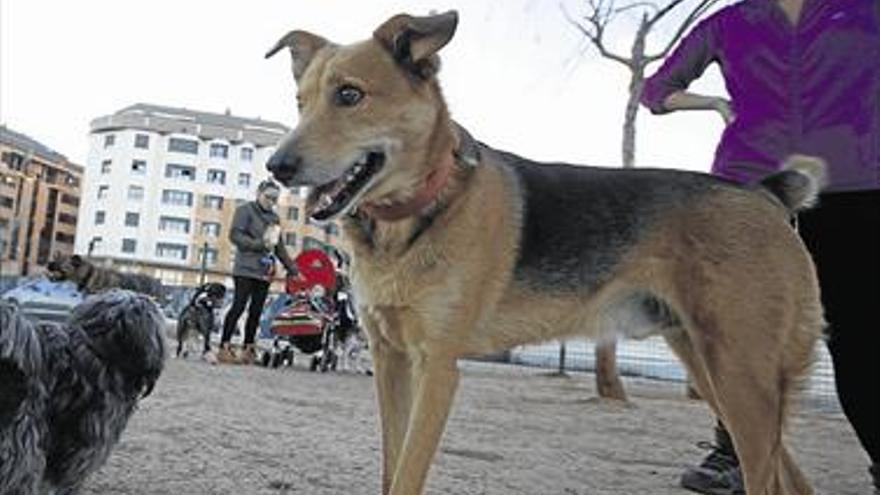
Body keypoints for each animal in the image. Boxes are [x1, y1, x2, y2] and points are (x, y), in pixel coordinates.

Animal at [264, 10, 820, 492]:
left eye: (349, 95)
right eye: (300, 102)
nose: (276, 166)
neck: (421, 210)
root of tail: (764, 194)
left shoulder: (435, 368)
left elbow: (406, 475)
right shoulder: (390, 360)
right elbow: (390, 468)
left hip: (741, 377)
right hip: (716, 375)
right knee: (792, 479)